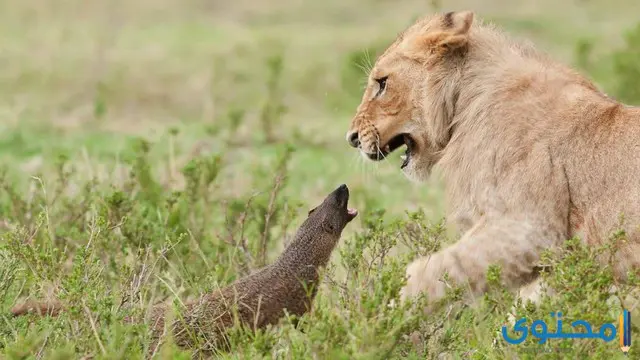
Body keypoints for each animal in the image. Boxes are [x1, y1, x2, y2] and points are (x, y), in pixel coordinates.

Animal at [344, 11, 640, 308]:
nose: (352, 138)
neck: (465, 102)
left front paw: (383, 310)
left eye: (382, 83)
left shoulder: (531, 229)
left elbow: (431, 270)